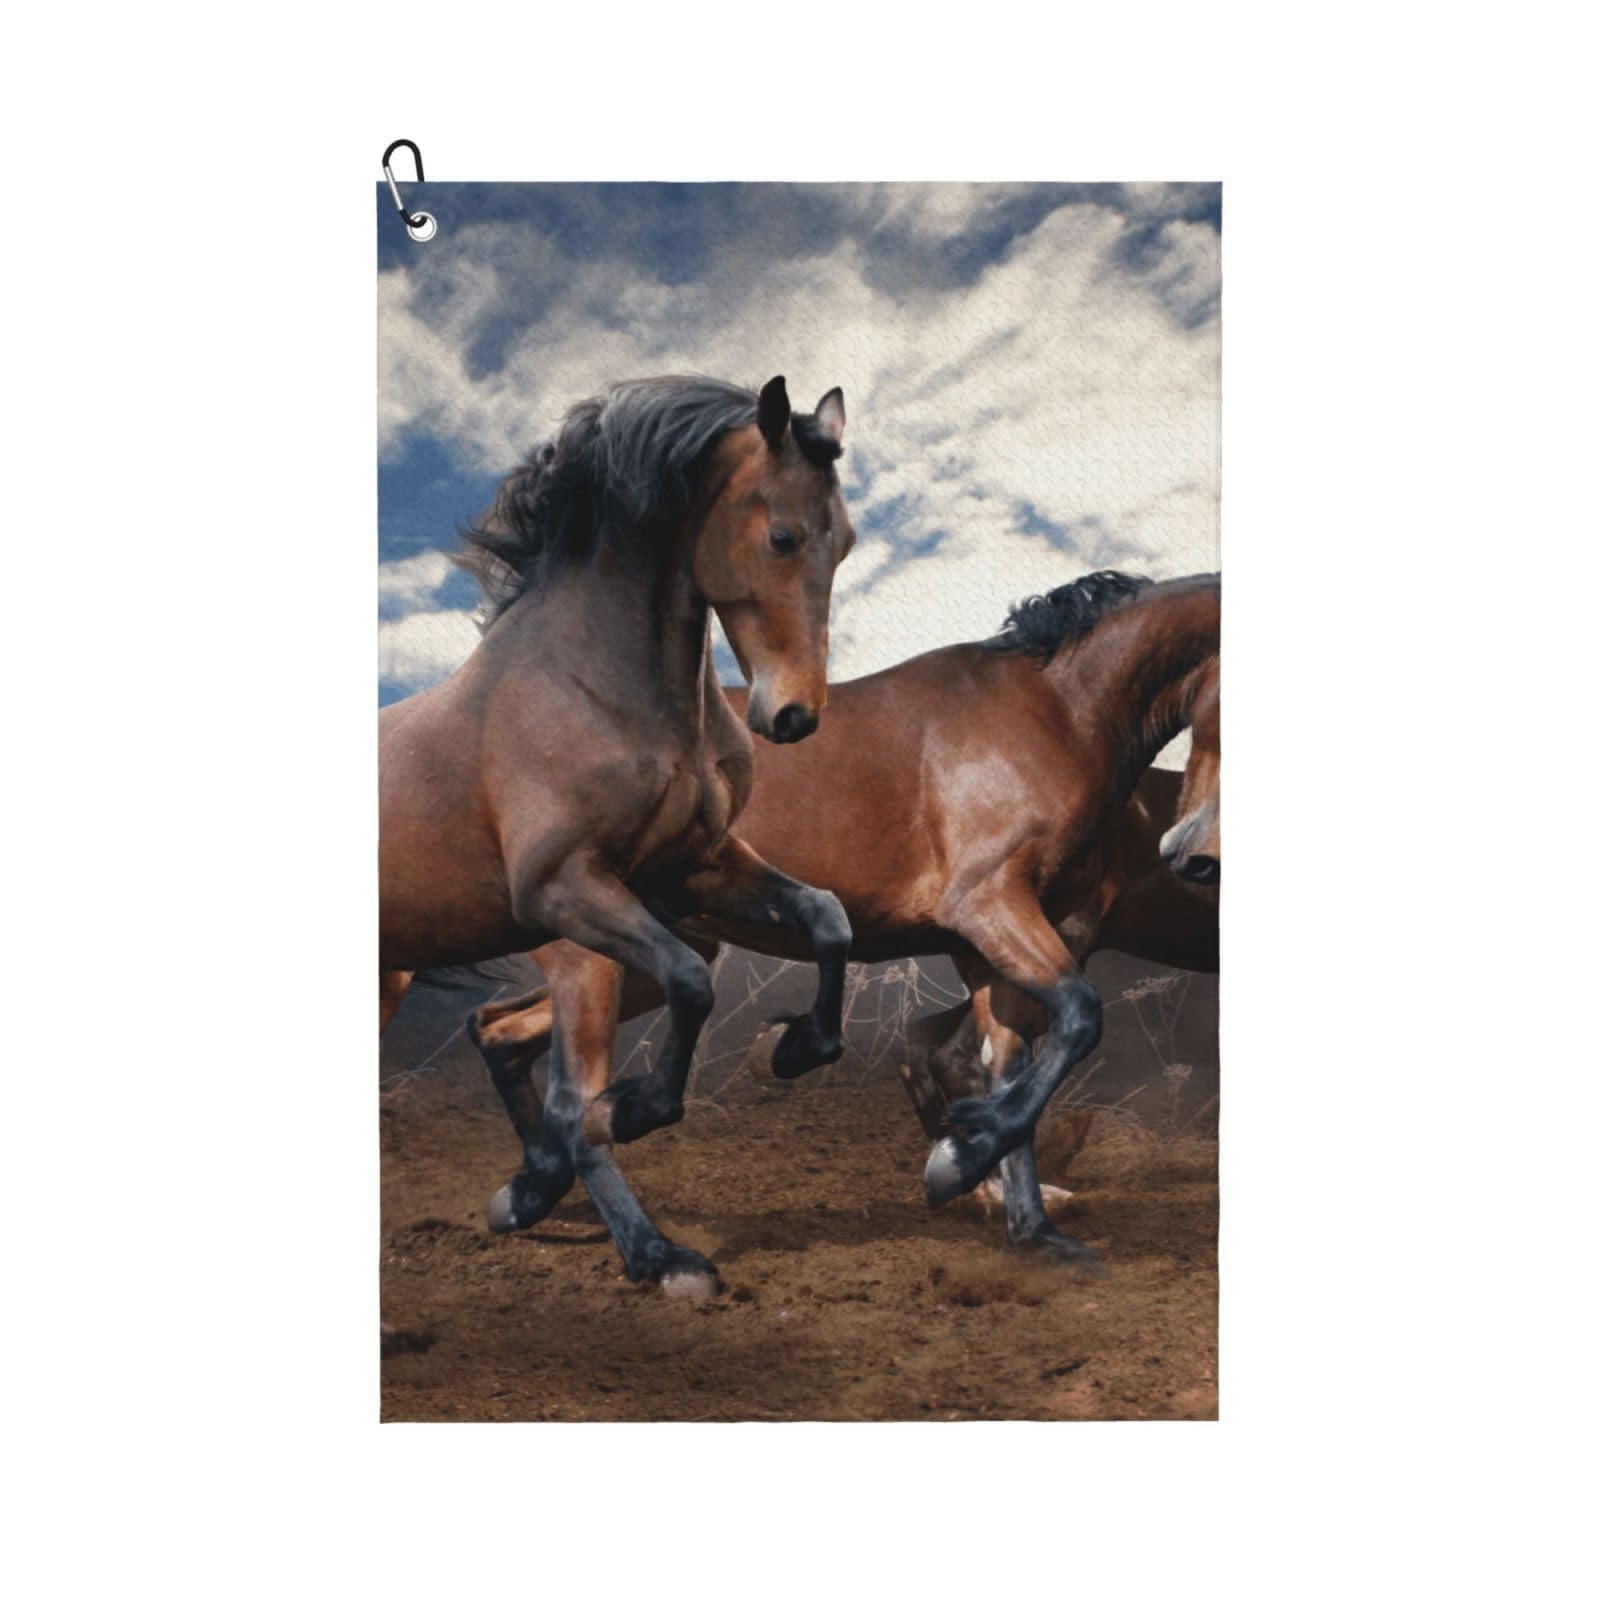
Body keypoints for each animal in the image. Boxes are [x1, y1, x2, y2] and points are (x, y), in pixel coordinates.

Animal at [381, 375, 860, 1288]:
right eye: (782, 535)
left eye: (845, 542)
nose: (794, 716)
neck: (592, 683)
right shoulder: (564, 889)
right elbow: (687, 989)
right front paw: (630, 1112)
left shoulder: (694, 869)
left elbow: (826, 917)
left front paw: (793, 1047)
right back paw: (648, 1246)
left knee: (500, 1036)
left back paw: (532, 1191)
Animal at [468, 571, 1220, 1284]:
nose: (1190, 854)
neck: (1056, 714)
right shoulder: (991, 907)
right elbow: (1079, 1020)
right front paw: (959, 1161)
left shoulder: (998, 942)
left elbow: (1009, 1065)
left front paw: (1028, 1228)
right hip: (592, 960)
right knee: (574, 1106)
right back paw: (658, 1254)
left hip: (659, 958)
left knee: (498, 1032)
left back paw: (528, 1192)